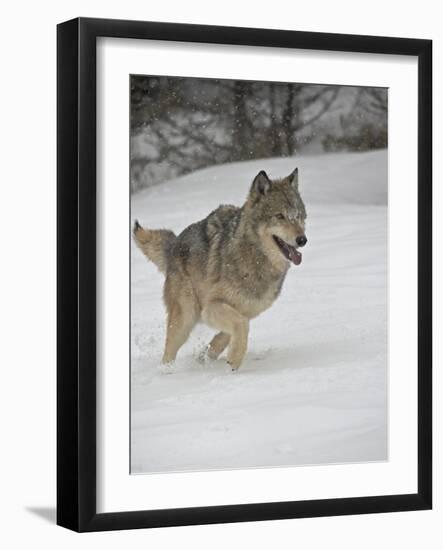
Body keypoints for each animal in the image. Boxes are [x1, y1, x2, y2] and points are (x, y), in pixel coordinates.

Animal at [134, 169, 308, 370]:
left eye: (299, 216)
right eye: (280, 216)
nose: (302, 240)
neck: (254, 258)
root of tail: (174, 244)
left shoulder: (248, 310)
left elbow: (230, 332)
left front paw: (210, 355)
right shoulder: (211, 307)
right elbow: (241, 325)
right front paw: (235, 359)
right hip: (186, 317)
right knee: (169, 351)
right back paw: (166, 371)